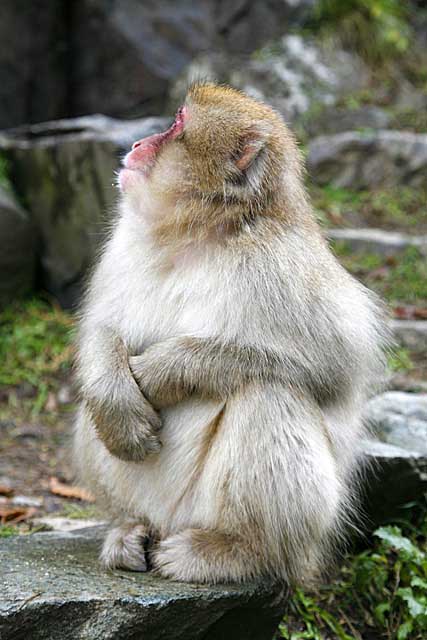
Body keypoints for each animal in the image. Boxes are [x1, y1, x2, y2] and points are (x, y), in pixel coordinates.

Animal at [74, 81, 392, 584]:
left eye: (177, 125)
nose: (139, 143)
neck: (196, 236)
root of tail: (169, 522)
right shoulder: (126, 242)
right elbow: (103, 328)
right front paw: (116, 397)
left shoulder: (281, 263)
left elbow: (335, 366)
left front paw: (163, 370)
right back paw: (128, 526)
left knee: (266, 392)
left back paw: (237, 551)